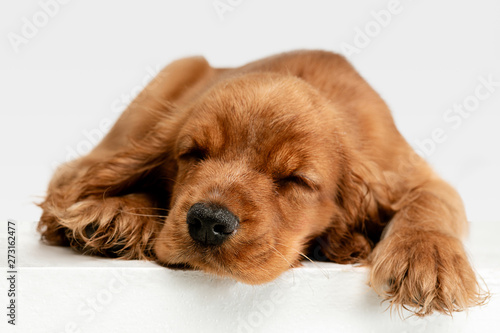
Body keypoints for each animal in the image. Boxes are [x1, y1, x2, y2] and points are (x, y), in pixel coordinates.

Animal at [40, 49, 488, 314]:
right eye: (193, 153)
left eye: (295, 180)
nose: (208, 222)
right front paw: (116, 210)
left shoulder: (415, 173)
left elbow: (430, 201)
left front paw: (427, 260)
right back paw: (115, 216)